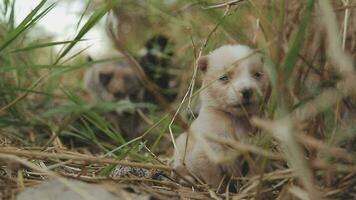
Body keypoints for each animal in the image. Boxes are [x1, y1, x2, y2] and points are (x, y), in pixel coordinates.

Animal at [172, 45, 270, 189]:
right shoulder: (207, 154)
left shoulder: (257, 148)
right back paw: (185, 179)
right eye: (224, 78)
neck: (237, 119)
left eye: (257, 75)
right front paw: (221, 191)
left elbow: (254, 171)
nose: (247, 91)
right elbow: (216, 181)